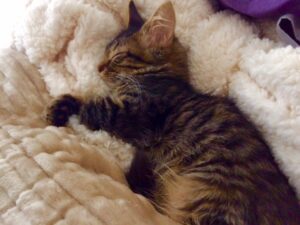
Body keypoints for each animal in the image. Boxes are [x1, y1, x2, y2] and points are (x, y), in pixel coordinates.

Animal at [47, 1, 300, 225]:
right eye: (104, 53)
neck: (164, 78)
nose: (98, 67)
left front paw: (58, 108)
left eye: (117, 58)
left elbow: (87, 103)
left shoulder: (130, 113)